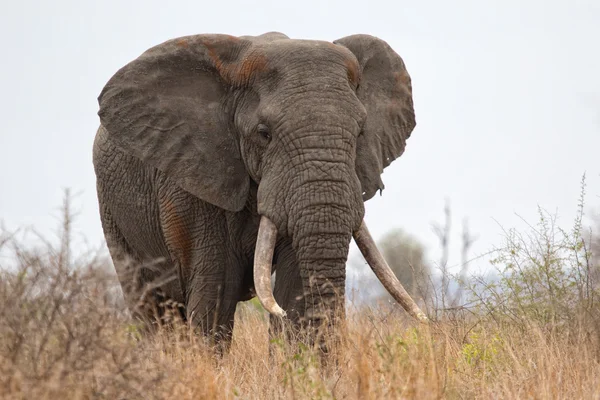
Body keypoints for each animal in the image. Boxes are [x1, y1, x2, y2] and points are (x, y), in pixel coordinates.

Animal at [92, 30, 426, 350]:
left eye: (359, 133)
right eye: (264, 134)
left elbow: (294, 291)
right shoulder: (193, 180)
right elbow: (216, 292)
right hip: (111, 210)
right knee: (150, 306)